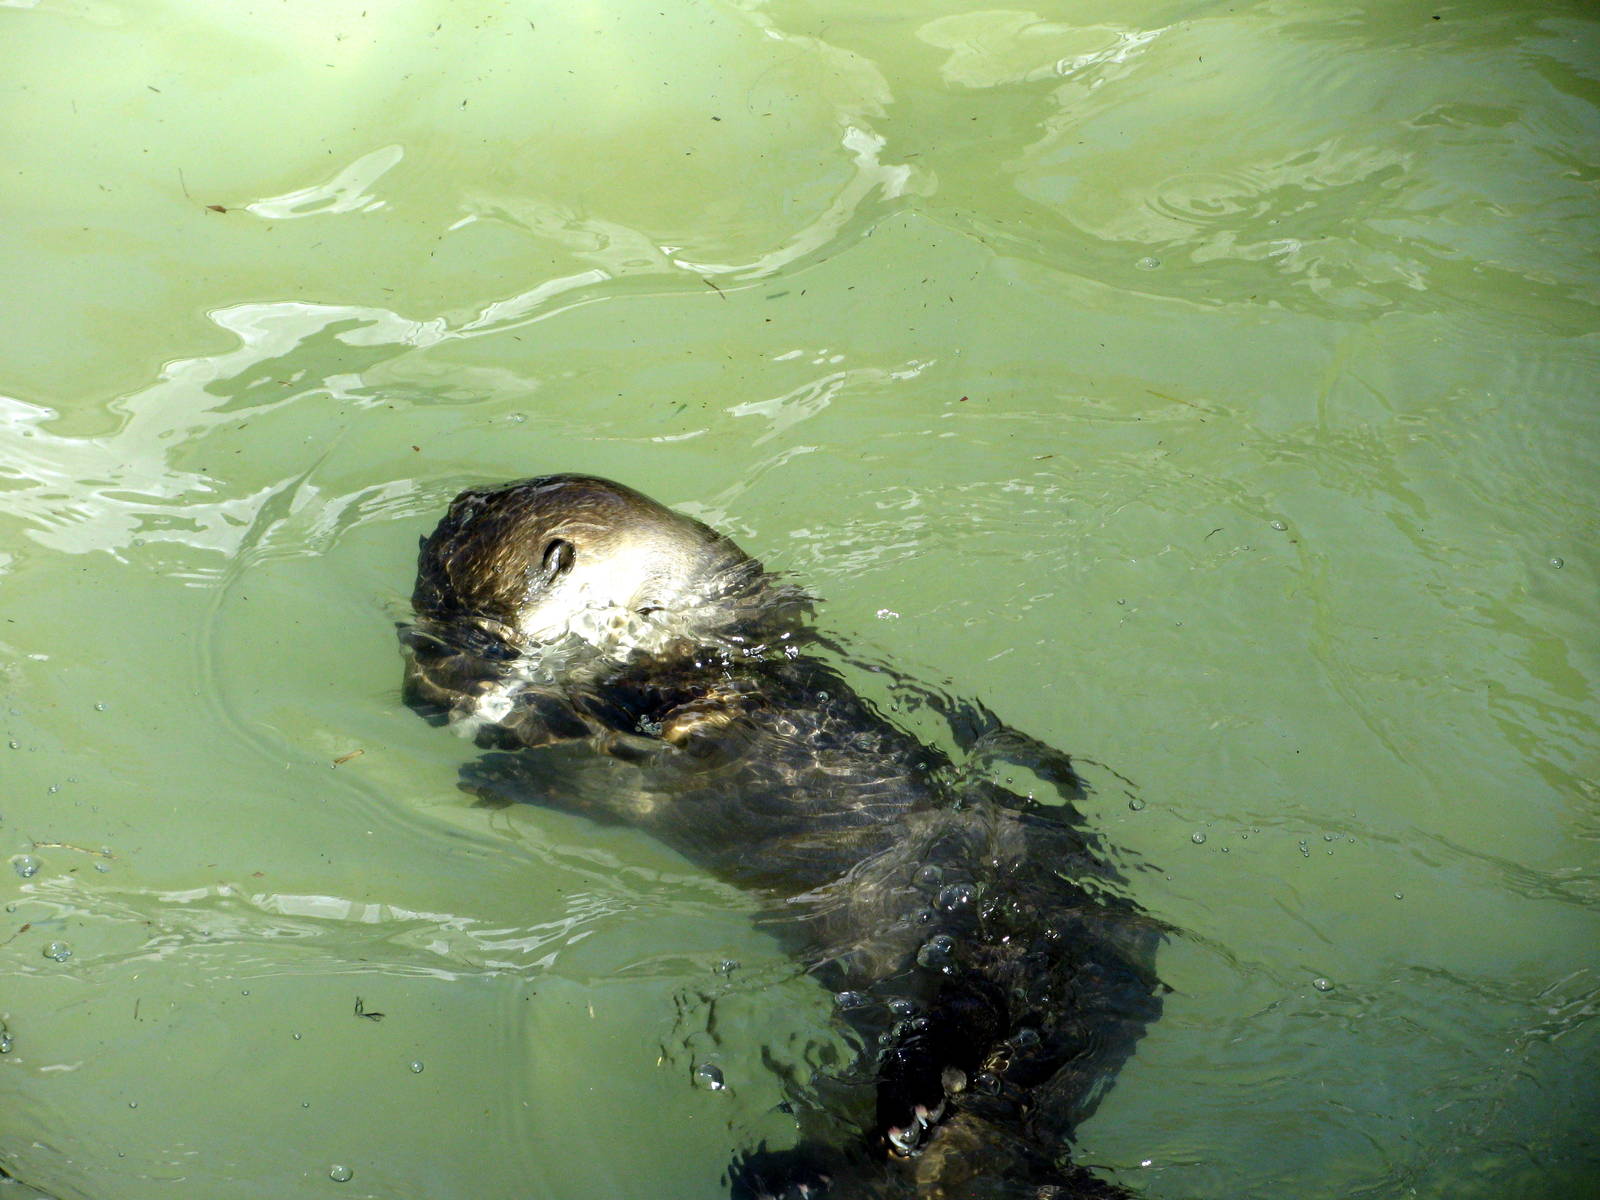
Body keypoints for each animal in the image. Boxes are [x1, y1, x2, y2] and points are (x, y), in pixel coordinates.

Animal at [401, 474, 1162, 1199]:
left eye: (460, 610)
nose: (415, 700)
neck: (680, 633)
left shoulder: (699, 699)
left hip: (1027, 945)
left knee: (982, 1018)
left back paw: (914, 1104)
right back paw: (800, 1174)